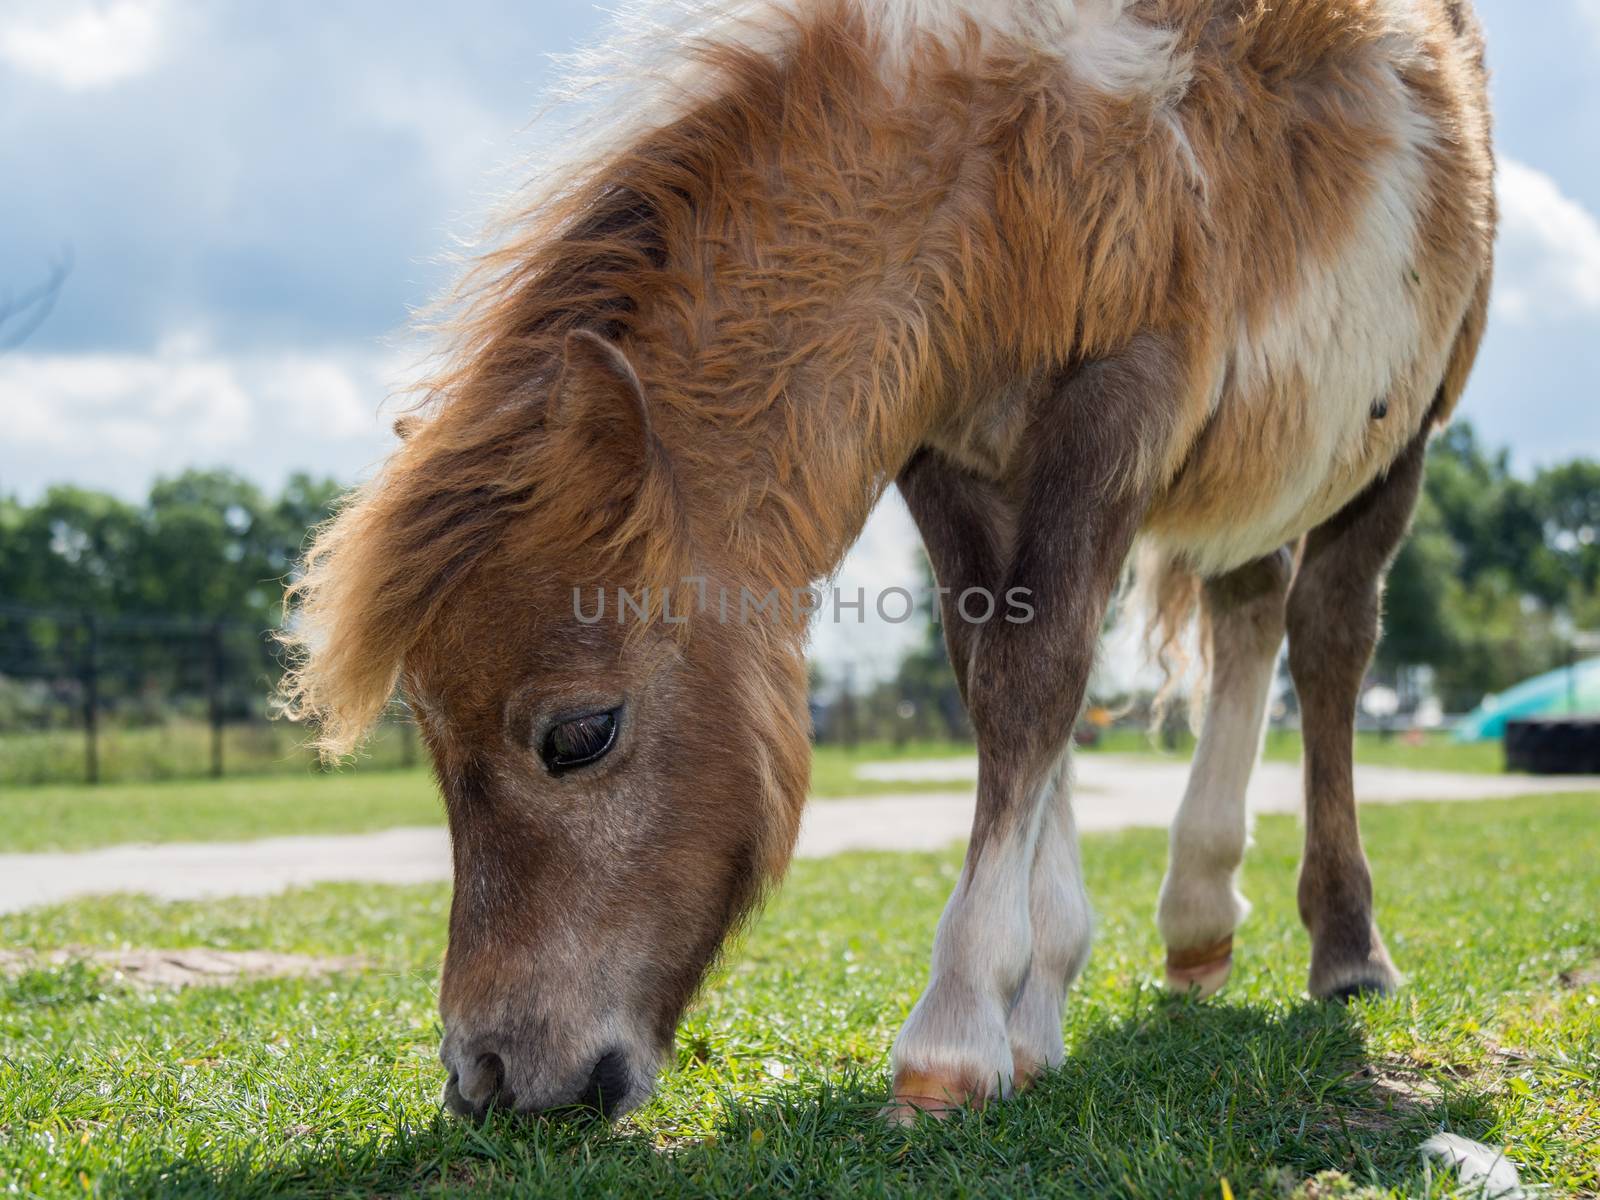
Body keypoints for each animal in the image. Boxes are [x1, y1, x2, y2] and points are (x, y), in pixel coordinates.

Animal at [281, 0, 1491, 1126]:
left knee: (1329, 636)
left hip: (1398, 437)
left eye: (578, 735)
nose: (484, 1073)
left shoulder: (1121, 401)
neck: (1012, 161)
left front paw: (954, 1036)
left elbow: (1035, 683)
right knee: (1249, 605)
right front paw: (1035, 1008)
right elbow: (1000, 676)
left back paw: (1346, 946)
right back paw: (1196, 925)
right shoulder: (948, 451)